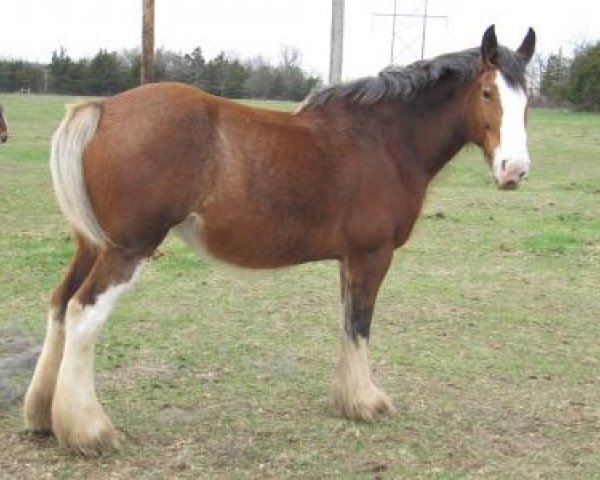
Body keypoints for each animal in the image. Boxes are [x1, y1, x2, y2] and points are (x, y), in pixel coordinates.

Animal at [25, 25, 536, 454]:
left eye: (527, 99)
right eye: (487, 92)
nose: (514, 171)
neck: (383, 139)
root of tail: (102, 108)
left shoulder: (349, 261)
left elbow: (347, 322)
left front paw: (346, 398)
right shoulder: (371, 256)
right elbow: (361, 324)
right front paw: (365, 402)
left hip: (91, 245)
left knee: (59, 304)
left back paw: (44, 417)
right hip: (128, 250)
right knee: (83, 314)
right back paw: (90, 431)